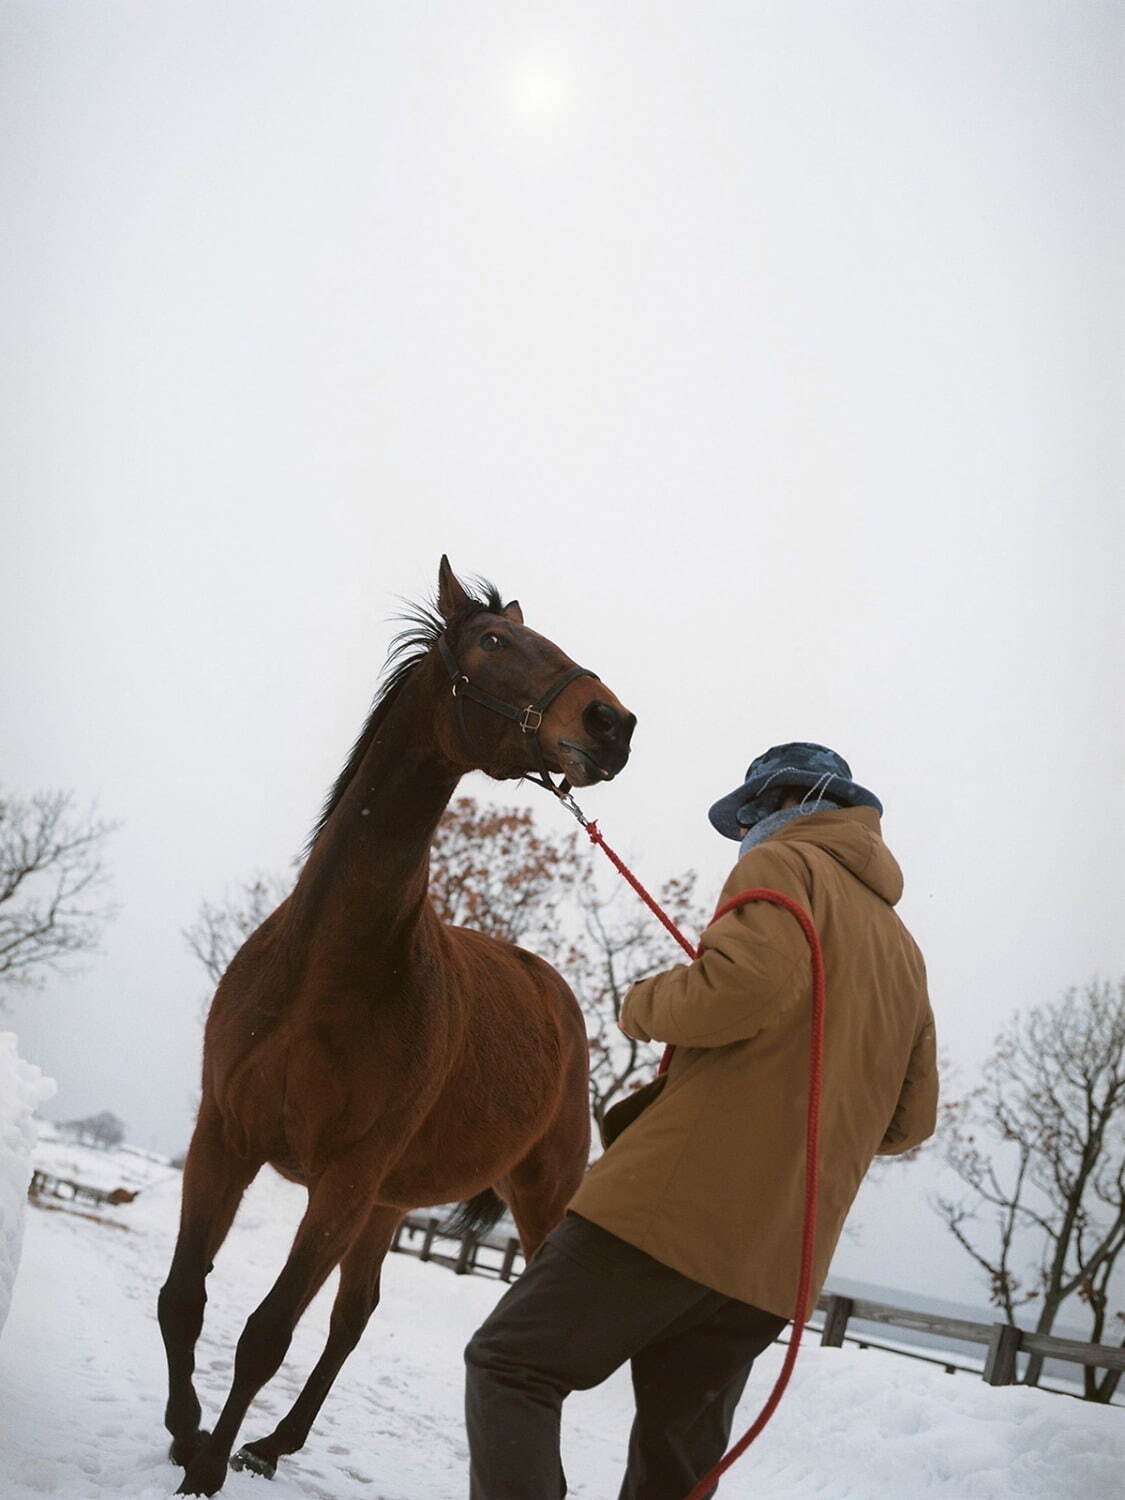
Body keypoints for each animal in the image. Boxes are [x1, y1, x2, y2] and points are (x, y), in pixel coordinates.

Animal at [157, 561, 636, 1488]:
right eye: (495, 640)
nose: (612, 722)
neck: (324, 974)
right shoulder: (224, 1138)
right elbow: (183, 1298)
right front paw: (188, 1433)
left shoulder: (342, 1183)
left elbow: (265, 1335)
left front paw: (205, 1468)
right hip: (386, 1205)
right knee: (354, 1316)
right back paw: (273, 1444)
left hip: (529, 1198)